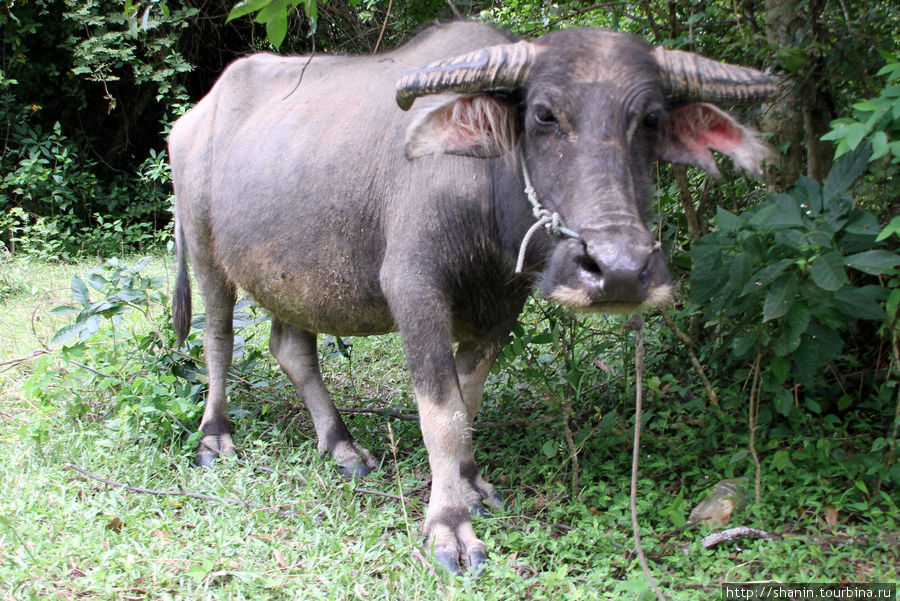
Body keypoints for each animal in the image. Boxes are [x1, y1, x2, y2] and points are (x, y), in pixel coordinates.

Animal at [169, 19, 772, 572]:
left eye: (650, 119)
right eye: (544, 115)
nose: (619, 271)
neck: (485, 195)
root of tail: (192, 119)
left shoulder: (504, 306)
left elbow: (467, 399)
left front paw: (470, 483)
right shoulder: (413, 288)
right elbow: (441, 413)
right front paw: (449, 527)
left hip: (293, 276)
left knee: (291, 348)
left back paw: (342, 446)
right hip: (203, 247)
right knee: (219, 338)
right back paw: (214, 437)